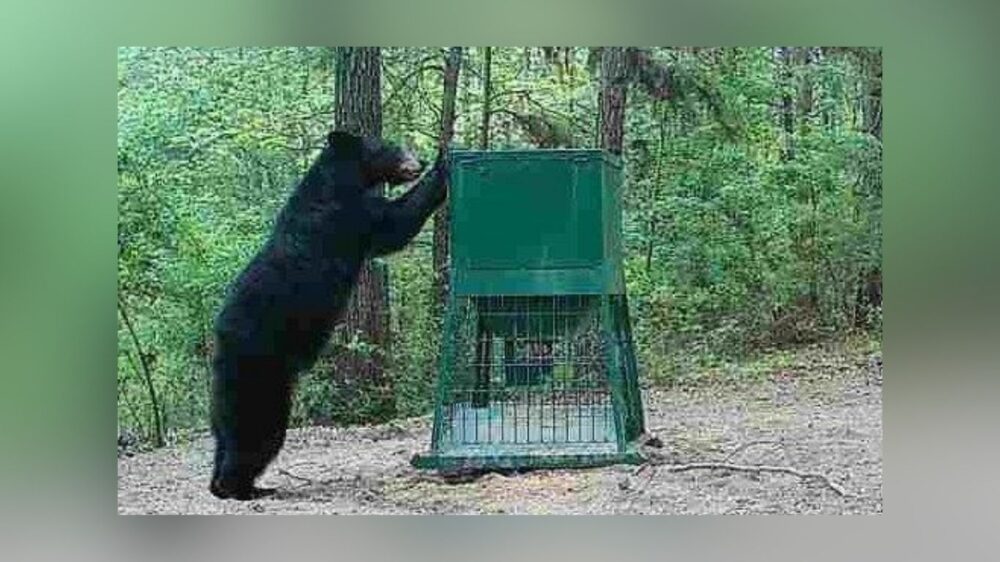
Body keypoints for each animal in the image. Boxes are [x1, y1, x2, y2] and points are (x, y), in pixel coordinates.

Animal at [209, 130, 448, 500]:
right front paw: (441, 165)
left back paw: (228, 485)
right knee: (257, 432)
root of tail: (221, 343)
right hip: (259, 374)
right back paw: (241, 488)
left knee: (224, 435)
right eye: (389, 145)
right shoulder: (349, 216)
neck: (340, 179)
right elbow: (394, 225)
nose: (418, 161)